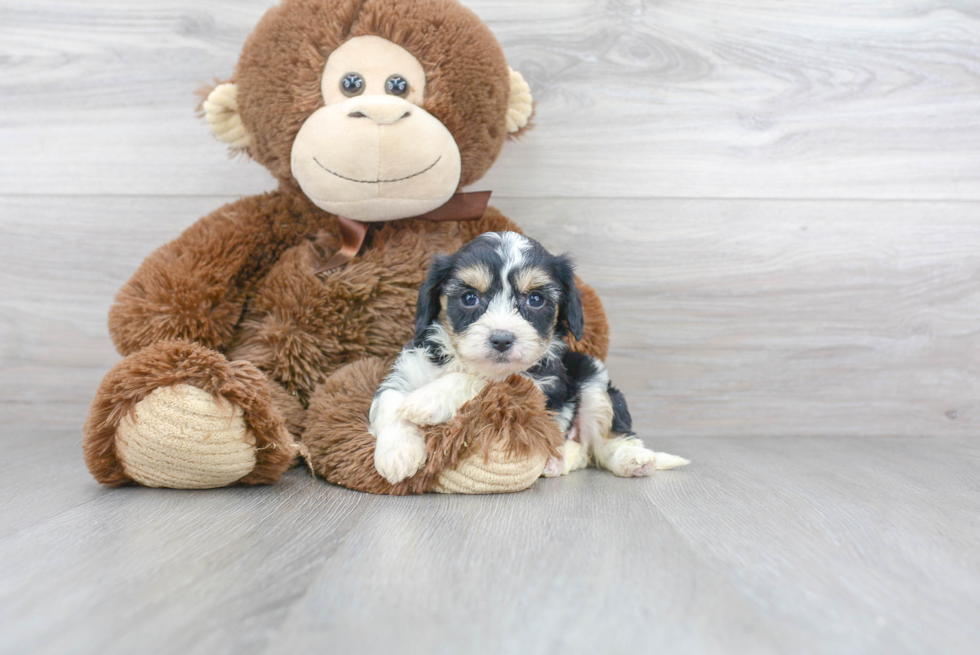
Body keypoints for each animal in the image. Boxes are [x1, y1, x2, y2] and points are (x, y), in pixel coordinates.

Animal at [368, 233, 688, 484]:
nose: (501, 339)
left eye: (535, 300)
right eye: (469, 298)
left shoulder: (537, 389)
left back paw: (631, 458)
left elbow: (486, 381)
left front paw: (428, 400)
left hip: (593, 378)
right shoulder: (409, 367)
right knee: (583, 452)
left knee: (603, 439)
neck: (465, 360)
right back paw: (558, 461)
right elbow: (391, 400)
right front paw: (397, 452)